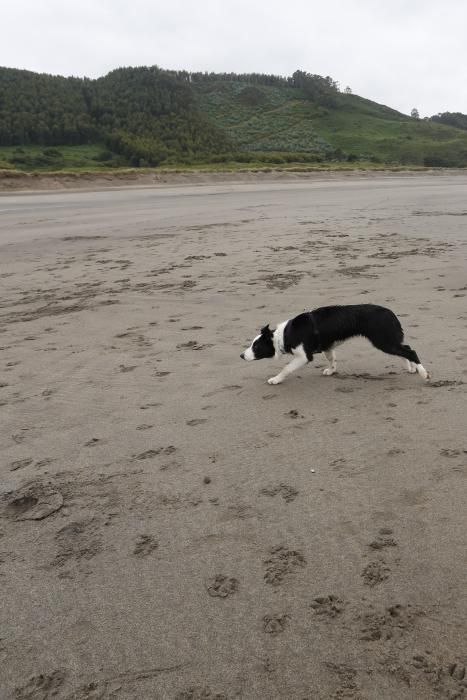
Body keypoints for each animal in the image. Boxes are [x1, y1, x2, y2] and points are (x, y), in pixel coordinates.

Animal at [243, 304, 430, 386]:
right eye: (251, 344)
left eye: (256, 347)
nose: (241, 355)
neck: (285, 335)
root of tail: (391, 313)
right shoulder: (328, 347)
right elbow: (332, 360)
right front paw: (331, 371)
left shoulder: (304, 356)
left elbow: (287, 368)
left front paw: (276, 379)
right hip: (387, 341)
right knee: (405, 349)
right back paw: (411, 368)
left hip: (383, 341)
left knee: (411, 351)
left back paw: (424, 374)